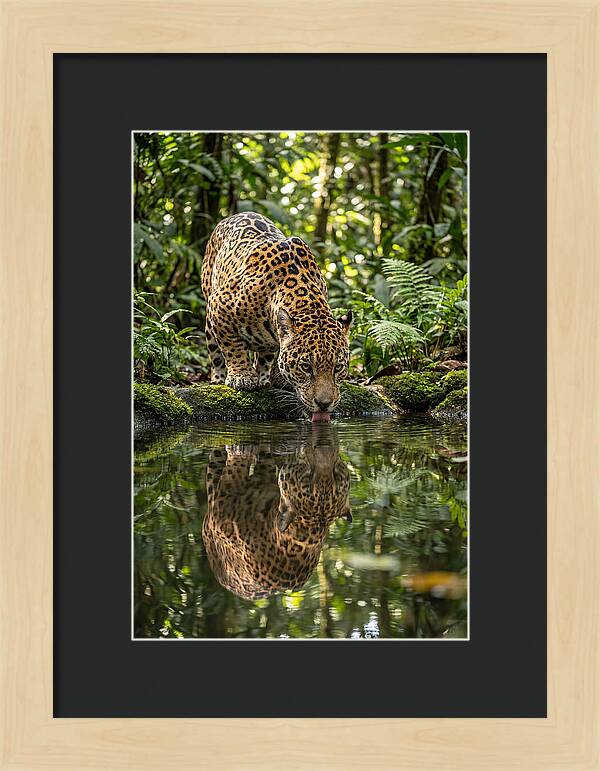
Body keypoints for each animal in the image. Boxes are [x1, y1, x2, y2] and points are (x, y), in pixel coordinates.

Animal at [201, 212, 352, 421]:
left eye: (338, 368)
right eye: (306, 367)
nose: (324, 404)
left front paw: (275, 378)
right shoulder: (219, 306)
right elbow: (232, 347)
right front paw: (242, 377)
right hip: (209, 310)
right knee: (215, 351)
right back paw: (219, 378)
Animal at [202, 428, 352, 600]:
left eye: (336, 475)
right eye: (308, 478)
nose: (324, 445)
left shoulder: (222, 508)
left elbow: (236, 470)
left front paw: (240, 450)